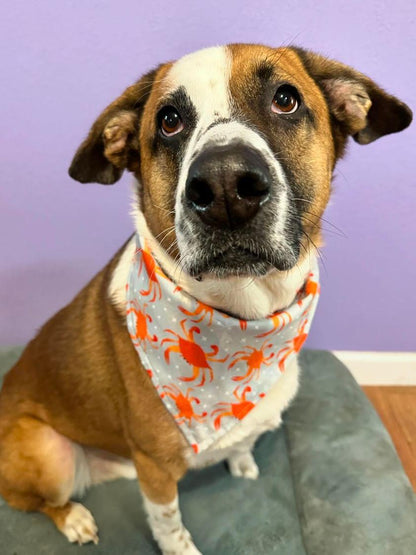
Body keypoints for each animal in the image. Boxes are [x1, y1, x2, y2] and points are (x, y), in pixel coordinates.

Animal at [0, 44, 410, 555]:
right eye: (168, 120)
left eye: (286, 99)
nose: (224, 185)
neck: (244, 317)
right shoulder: (156, 472)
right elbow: (170, 524)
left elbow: (241, 441)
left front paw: (241, 460)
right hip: (50, 454)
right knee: (40, 500)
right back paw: (74, 518)